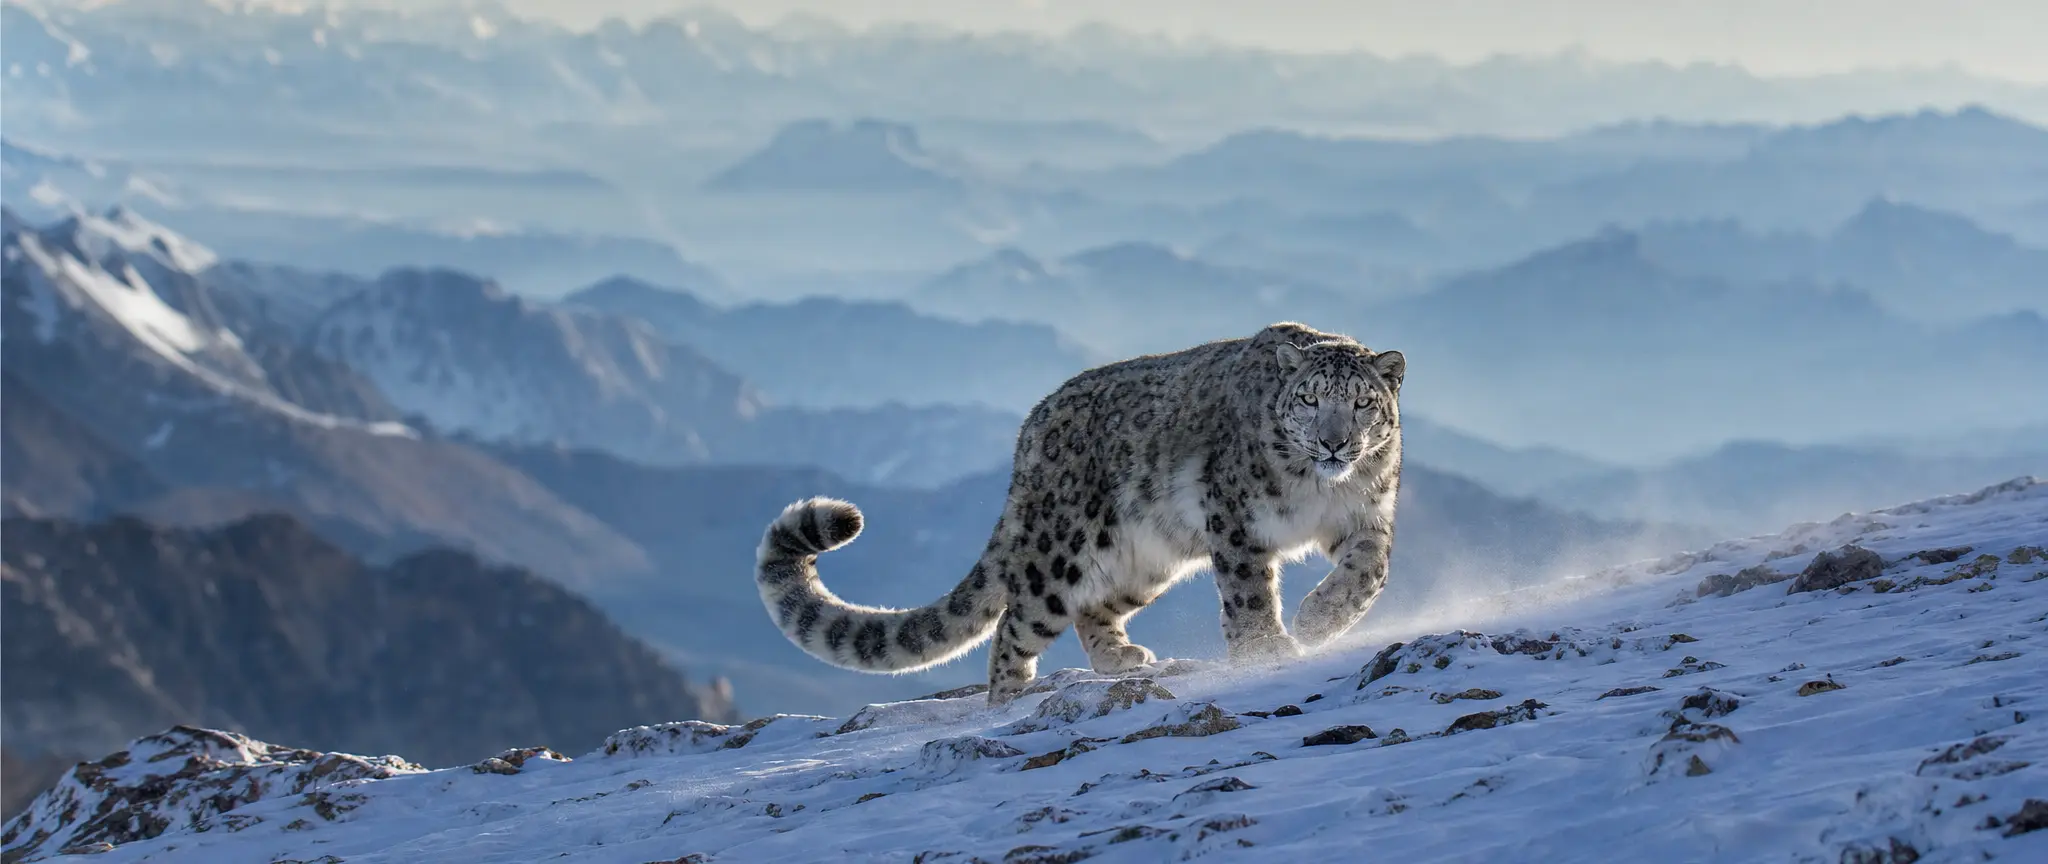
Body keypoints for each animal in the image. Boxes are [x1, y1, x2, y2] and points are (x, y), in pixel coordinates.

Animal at [752, 321, 1405, 705]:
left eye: (1363, 404)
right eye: (1310, 400)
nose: (1334, 444)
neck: (1320, 490)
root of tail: (1030, 431)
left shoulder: (1366, 516)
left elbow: (1370, 571)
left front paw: (1319, 619)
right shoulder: (1236, 520)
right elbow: (1248, 592)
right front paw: (1270, 649)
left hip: (1148, 557)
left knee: (1094, 609)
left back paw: (1121, 658)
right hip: (1058, 552)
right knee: (1015, 622)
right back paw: (1009, 698)